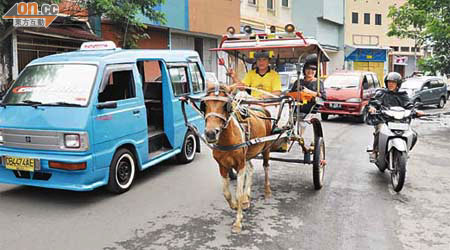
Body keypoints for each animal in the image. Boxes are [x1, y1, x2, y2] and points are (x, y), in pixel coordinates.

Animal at [202, 83, 272, 232]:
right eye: (204, 104)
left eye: (225, 105)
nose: (210, 133)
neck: (227, 139)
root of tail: (262, 108)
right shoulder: (222, 166)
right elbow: (226, 193)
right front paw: (234, 205)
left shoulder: (240, 164)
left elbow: (238, 193)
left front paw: (238, 221)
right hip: (248, 153)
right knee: (250, 169)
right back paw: (246, 198)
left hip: (266, 148)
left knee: (266, 167)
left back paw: (267, 190)